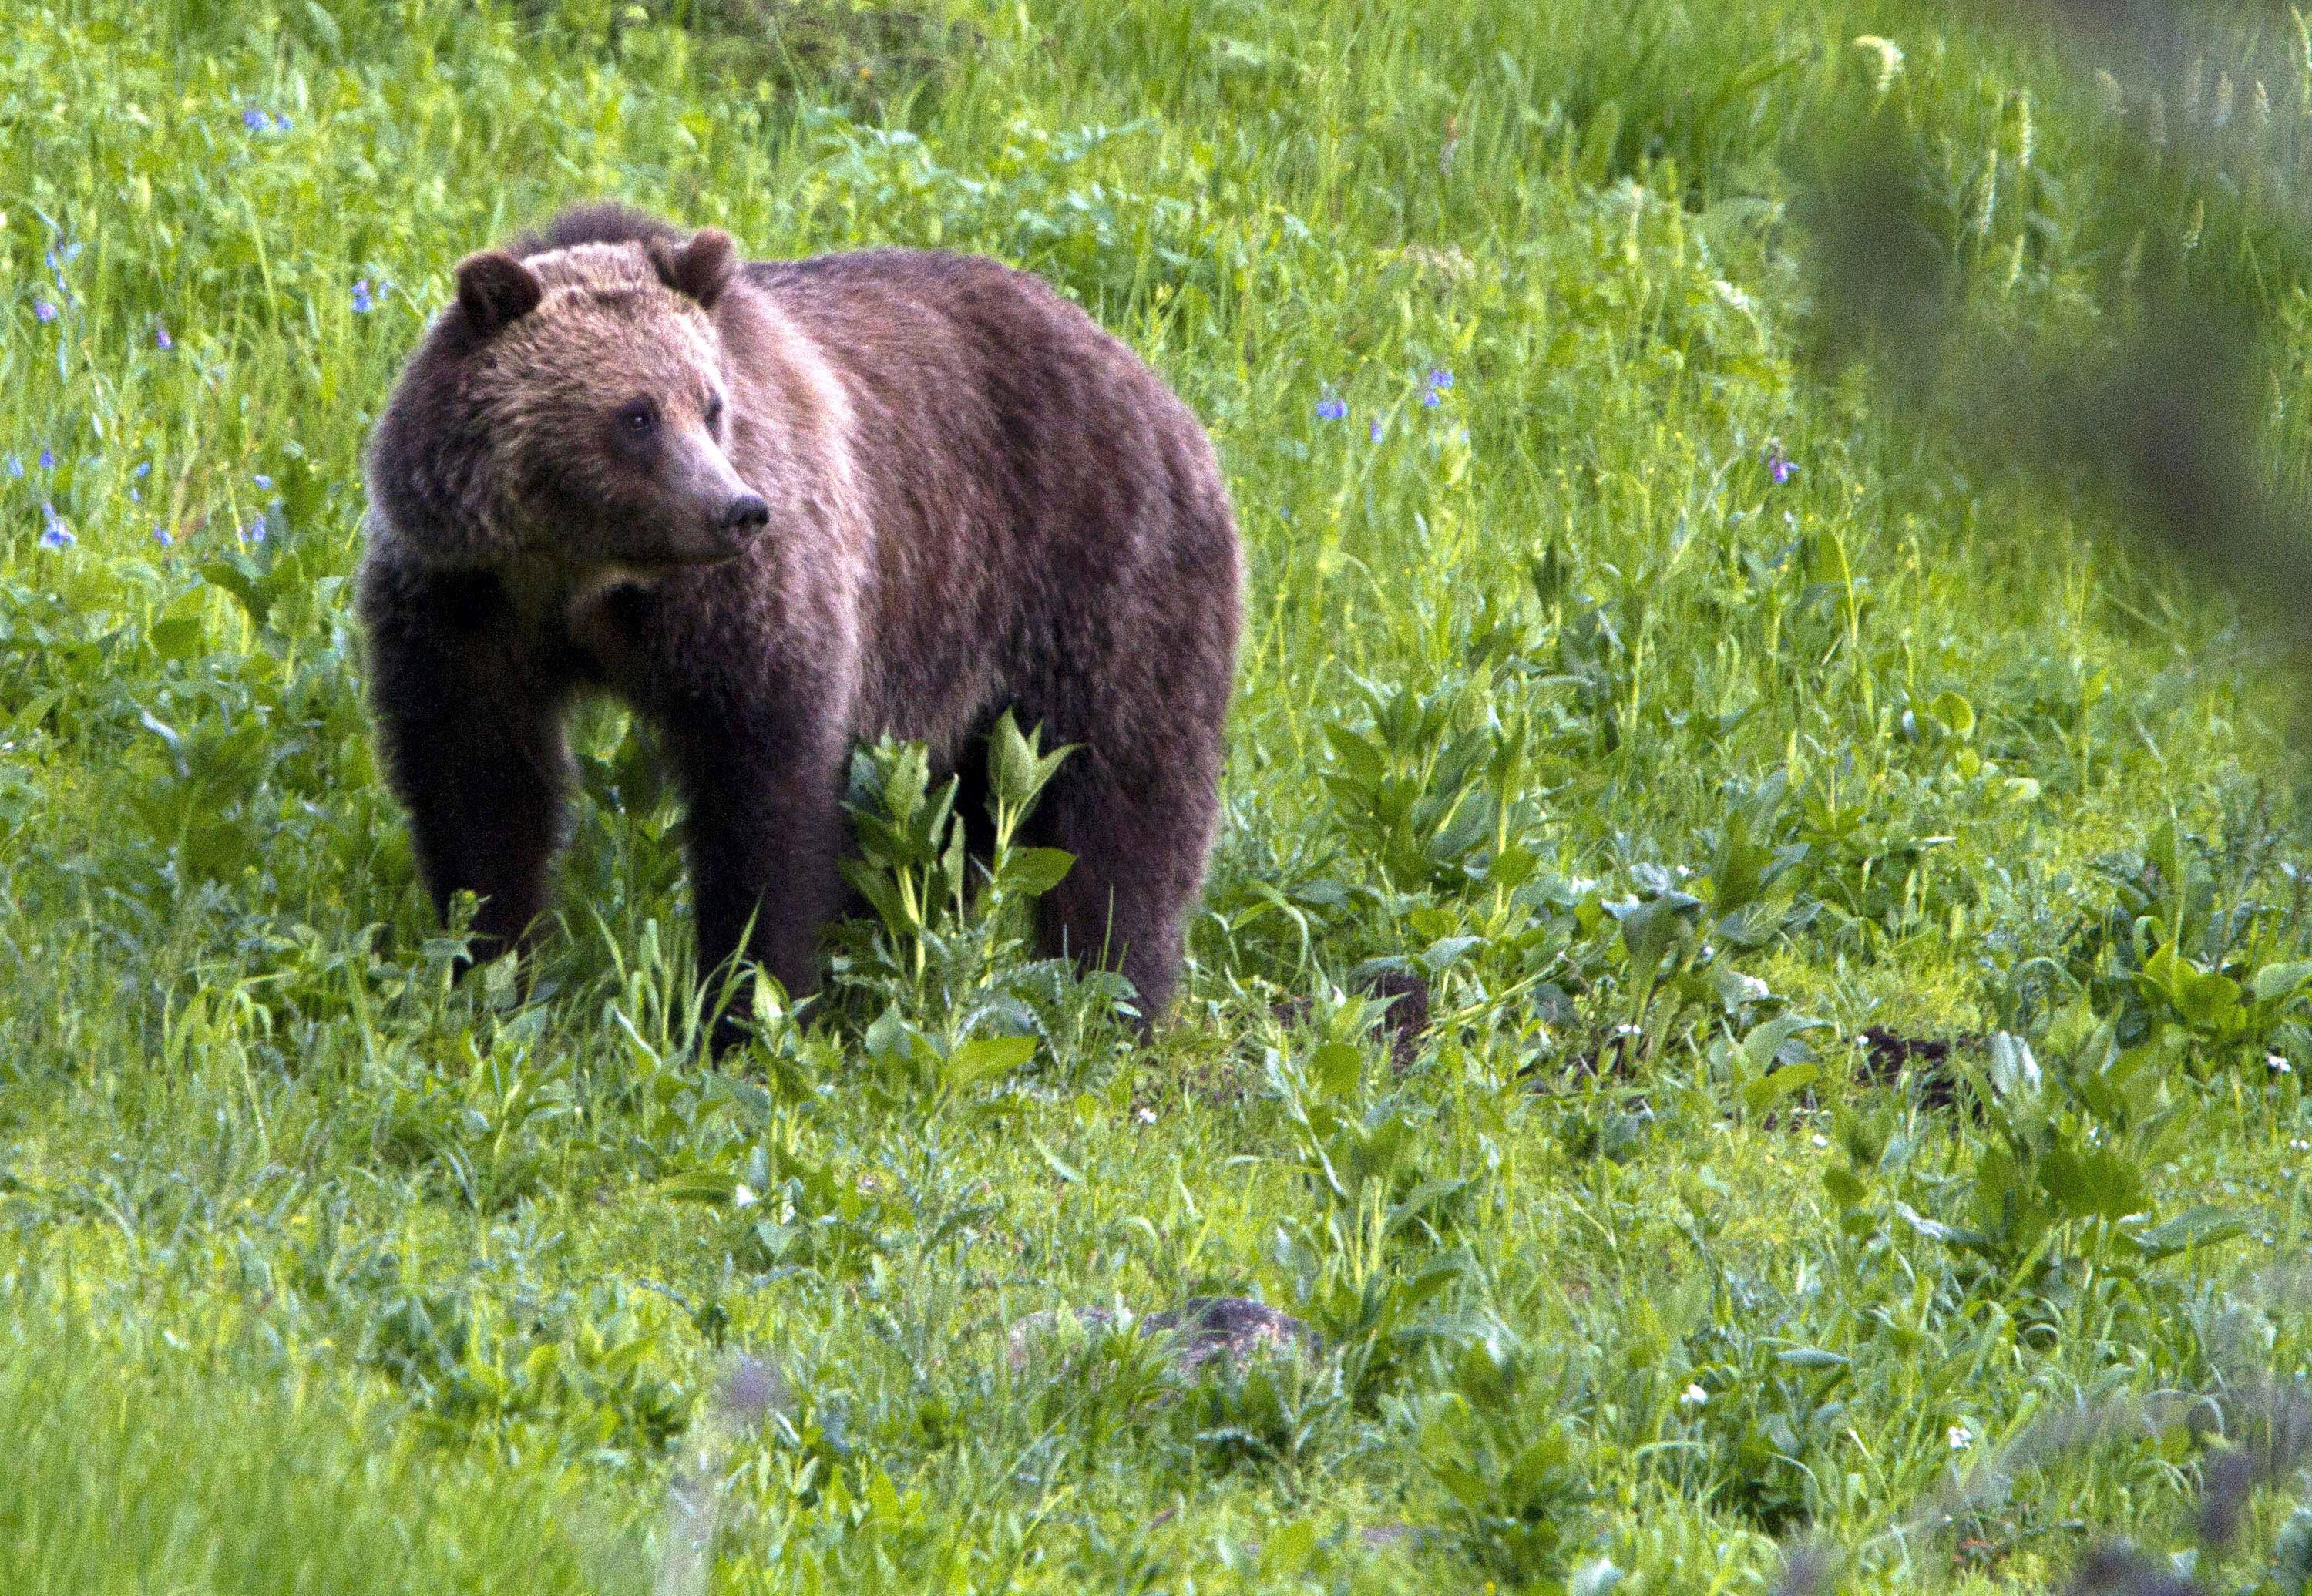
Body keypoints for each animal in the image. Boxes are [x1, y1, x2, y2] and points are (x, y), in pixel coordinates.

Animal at [361, 204, 1239, 1031]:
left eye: (711, 405)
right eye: (636, 415)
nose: (737, 509)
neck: (585, 576)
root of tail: (1151, 379)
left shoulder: (744, 609)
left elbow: (765, 799)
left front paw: (745, 1003)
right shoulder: (466, 605)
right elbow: (479, 786)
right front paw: (489, 969)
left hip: (1097, 577)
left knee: (1123, 803)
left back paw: (1114, 996)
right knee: (949, 826)